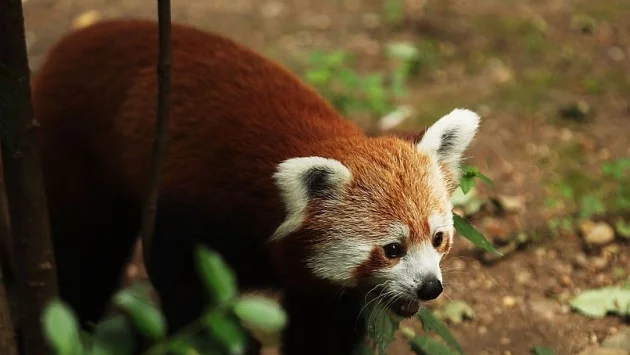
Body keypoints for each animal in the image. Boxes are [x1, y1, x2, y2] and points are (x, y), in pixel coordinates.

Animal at [32, 18, 482, 355]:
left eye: (438, 238)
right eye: (392, 249)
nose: (430, 287)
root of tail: (79, 35)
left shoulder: (321, 291)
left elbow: (322, 331)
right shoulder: (194, 207)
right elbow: (181, 284)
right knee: (85, 250)